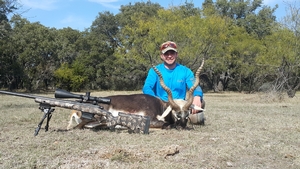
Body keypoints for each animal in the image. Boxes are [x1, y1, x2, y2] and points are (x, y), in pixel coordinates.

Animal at [67, 58, 204, 130]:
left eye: (187, 113)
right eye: (176, 113)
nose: (182, 126)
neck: (160, 107)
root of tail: (76, 110)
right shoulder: (152, 121)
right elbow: (166, 124)